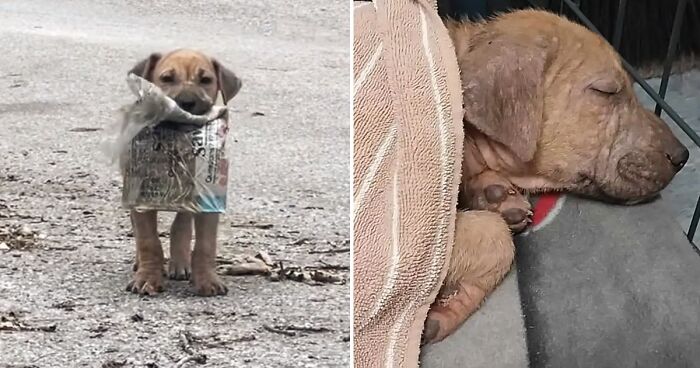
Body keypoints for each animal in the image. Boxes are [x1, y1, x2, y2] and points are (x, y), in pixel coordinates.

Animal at [121, 49, 239, 296]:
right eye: (166, 78)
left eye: (206, 80)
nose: (186, 103)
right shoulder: (139, 198)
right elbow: (148, 241)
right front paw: (147, 278)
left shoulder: (209, 199)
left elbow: (205, 244)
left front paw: (207, 280)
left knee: (181, 224)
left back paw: (180, 263)